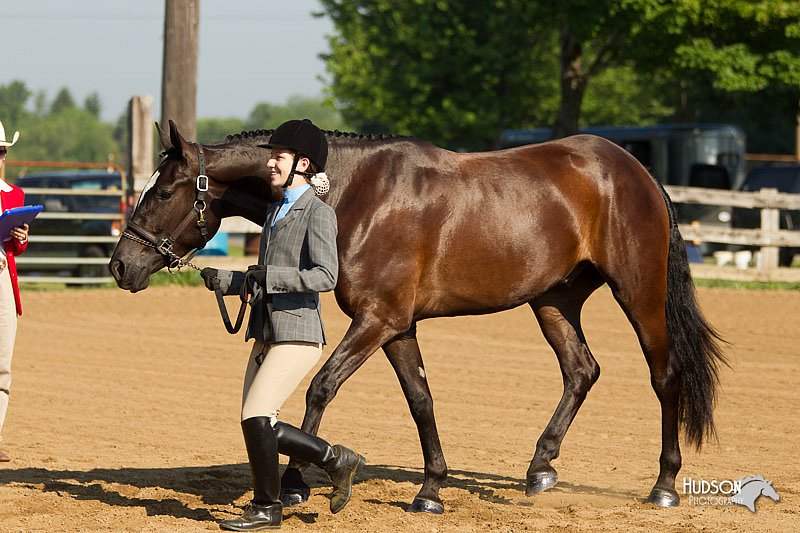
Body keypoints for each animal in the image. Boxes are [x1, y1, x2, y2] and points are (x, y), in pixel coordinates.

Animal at [109, 119, 728, 512]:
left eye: (163, 191)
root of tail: (635, 170)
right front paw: (430, 490)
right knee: (581, 369)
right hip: (554, 299)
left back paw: (664, 485)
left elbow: (321, 389)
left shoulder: (377, 320)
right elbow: (420, 399)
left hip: (639, 293)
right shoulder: (398, 326)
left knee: (664, 375)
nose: (120, 266)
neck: (352, 194)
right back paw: (540, 469)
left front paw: (296, 484)